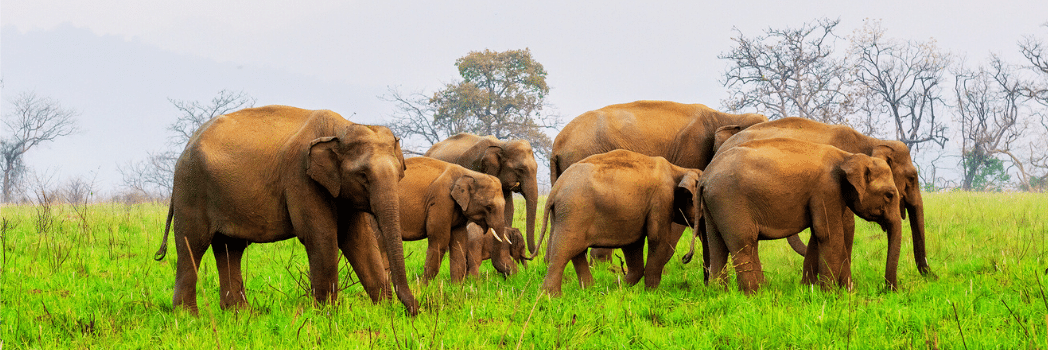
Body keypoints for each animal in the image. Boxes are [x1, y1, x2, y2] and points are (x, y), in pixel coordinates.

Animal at [155, 105, 417, 316]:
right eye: (363, 176)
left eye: (400, 173)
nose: (415, 311)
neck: (341, 129)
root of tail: (187, 145)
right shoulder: (300, 177)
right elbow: (321, 236)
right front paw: (327, 315)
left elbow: (359, 240)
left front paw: (384, 312)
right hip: (191, 188)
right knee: (192, 244)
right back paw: (189, 317)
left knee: (230, 248)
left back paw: (241, 314)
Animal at [536, 148, 700, 297]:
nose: (686, 257)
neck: (679, 169)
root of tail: (555, 189)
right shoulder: (662, 199)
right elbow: (657, 239)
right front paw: (652, 294)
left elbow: (633, 245)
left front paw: (616, 287)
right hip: (574, 211)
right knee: (564, 250)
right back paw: (551, 296)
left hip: (564, 215)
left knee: (576, 252)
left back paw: (591, 290)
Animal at [687, 136, 901, 293]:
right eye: (889, 195)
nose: (889, 290)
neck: (848, 156)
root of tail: (704, 177)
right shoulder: (827, 189)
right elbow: (828, 234)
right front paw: (832, 293)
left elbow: (817, 234)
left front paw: (810, 289)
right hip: (730, 200)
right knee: (744, 242)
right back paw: (755, 294)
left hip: (713, 204)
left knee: (717, 245)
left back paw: (720, 293)